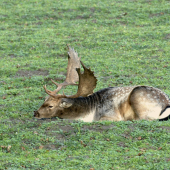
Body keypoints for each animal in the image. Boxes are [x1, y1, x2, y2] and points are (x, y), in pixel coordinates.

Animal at [33, 45, 170, 121]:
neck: (89, 113)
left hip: (138, 98)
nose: (35, 113)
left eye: (50, 106)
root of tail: (166, 104)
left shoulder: (110, 115)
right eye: (44, 100)